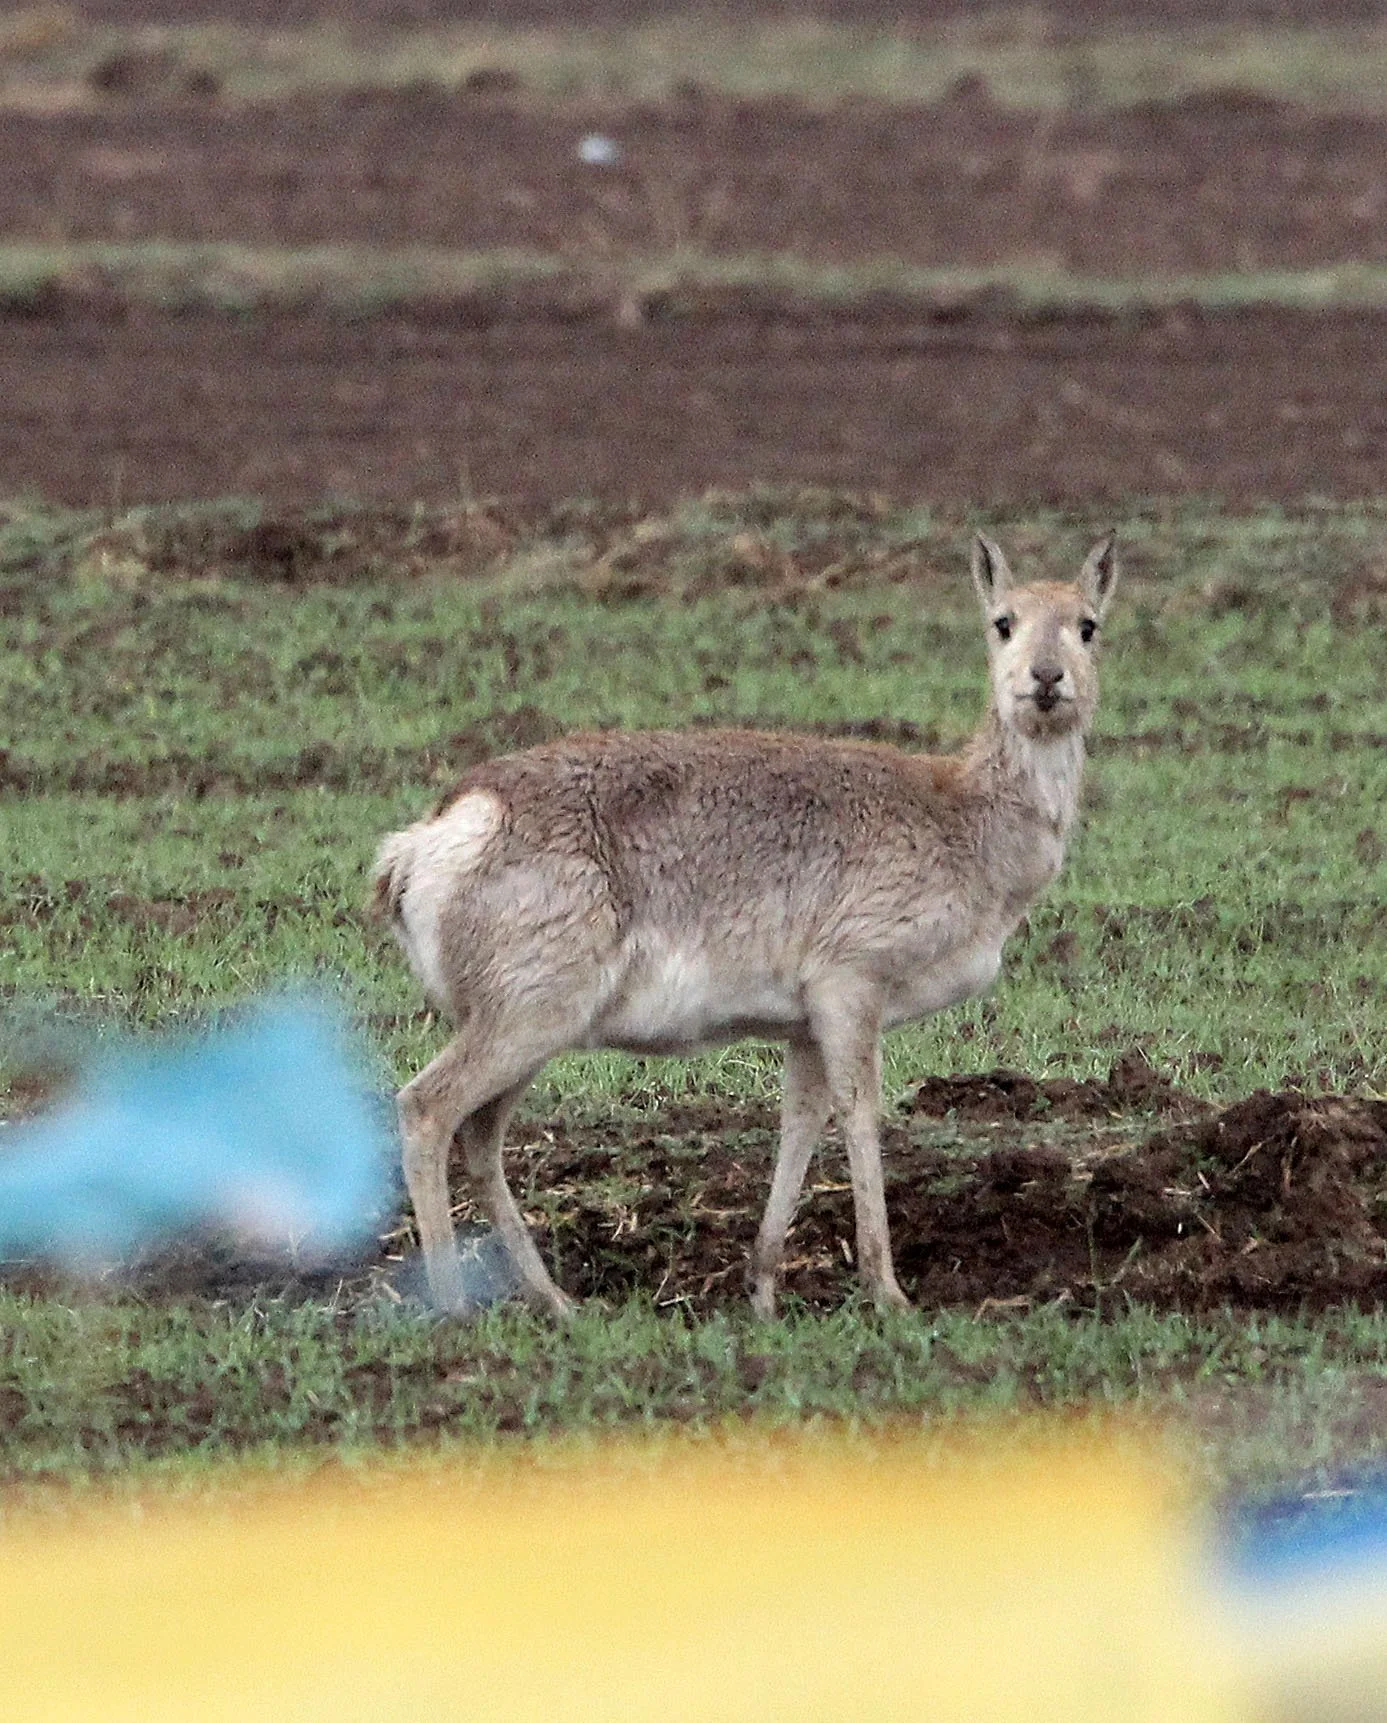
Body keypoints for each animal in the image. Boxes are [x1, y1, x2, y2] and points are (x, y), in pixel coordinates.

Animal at [372, 533, 1117, 1319]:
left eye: (1086, 624)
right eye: (1003, 621)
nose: (1045, 678)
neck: (965, 814)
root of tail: (427, 835)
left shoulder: (804, 1026)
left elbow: (800, 1123)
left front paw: (761, 1291)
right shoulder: (851, 987)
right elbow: (859, 1113)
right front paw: (886, 1292)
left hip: (531, 1029)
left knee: (479, 1135)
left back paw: (558, 1303)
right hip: (526, 1019)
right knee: (426, 1108)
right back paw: (452, 1308)